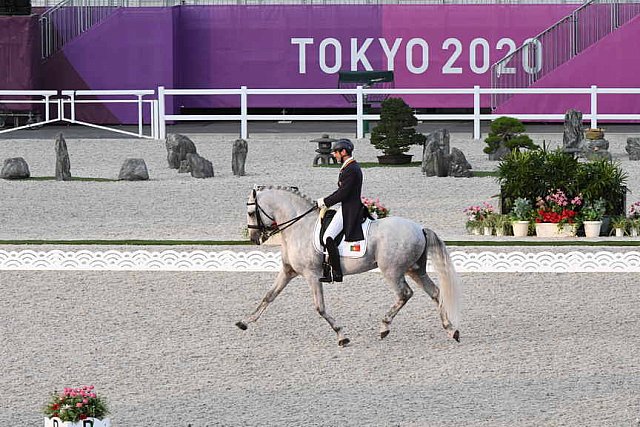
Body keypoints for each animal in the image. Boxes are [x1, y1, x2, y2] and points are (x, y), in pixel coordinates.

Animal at [235, 186, 460, 346]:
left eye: (251, 211)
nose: (254, 239)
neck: (298, 227)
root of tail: (420, 228)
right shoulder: (288, 271)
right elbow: (269, 296)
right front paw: (245, 322)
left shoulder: (311, 275)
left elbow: (319, 307)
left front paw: (341, 335)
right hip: (414, 270)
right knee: (436, 293)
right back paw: (451, 329)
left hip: (392, 271)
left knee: (404, 294)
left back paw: (384, 327)